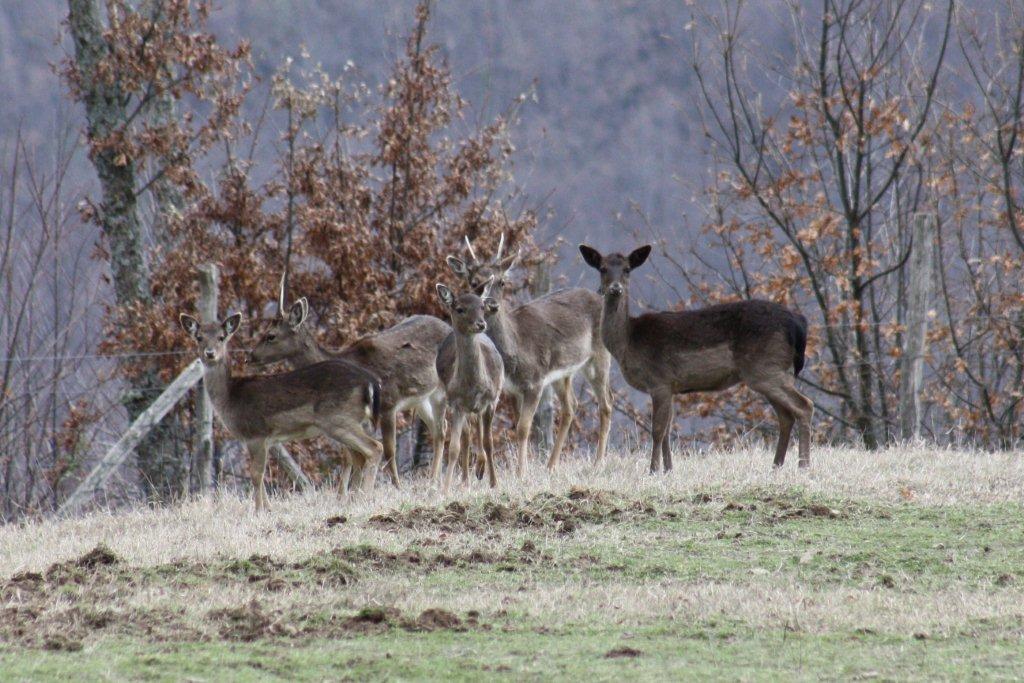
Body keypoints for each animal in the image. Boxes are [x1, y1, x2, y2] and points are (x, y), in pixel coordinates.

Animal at [180, 313, 385, 509]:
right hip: (353, 422)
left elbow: (256, 474)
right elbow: (260, 474)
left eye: (221, 337)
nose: (210, 353)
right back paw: (354, 498)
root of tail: (370, 382)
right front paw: (268, 508)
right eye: (199, 337)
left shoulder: (256, 433)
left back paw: (364, 497)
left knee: (375, 447)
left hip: (338, 419)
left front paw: (258, 510)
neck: (230, 398)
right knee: (360, 455)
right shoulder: (259, 440)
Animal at [247, 274, 448, 489]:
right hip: (421, 398)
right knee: (438, 428)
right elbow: (350, 457)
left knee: (442, 429)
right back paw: (434, 479)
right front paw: (347, 491)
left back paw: (435, 479)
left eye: (270, 335)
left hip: (442, 389)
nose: (250, 357)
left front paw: (396, 487)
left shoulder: (389, 404)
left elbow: (388, 451)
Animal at [432, 282, 503, 491]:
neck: (474, 385)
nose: (481, 324)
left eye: (482, 306)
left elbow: (489, 442)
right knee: (466, 436)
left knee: (477, 429)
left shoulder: (491, 400)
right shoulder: (456, 404)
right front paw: (445, 489)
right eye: (460, 309)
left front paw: (494, 483)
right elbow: (454, 448)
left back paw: (480, 469)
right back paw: (466, 479)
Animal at [446, 237, 606, 479]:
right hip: (563, 372)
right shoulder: (512, 389)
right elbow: (517, 426)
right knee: (571, 406)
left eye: (502, 281)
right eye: (474, 282)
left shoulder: (535, 380)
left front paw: (521, 471)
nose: (492, 305)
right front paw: (489, 468)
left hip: (599, 356)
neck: (516, 349)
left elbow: (523, 428)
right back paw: (551, 465)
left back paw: (597, 463)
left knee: (606, 406)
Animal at [581, 242, 811, 473]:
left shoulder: (659, 380)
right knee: (786, 416)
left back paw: (803, 465)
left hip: (765, 368)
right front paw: (669, 469)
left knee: (804, 405)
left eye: (627, 269)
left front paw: (653, 469)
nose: (615, 288)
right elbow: (667, 430)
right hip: (773, 371)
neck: (629, 342)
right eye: (602, 268)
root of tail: (798, 324)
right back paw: (777, 465)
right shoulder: (671, 387)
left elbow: (657, 429)